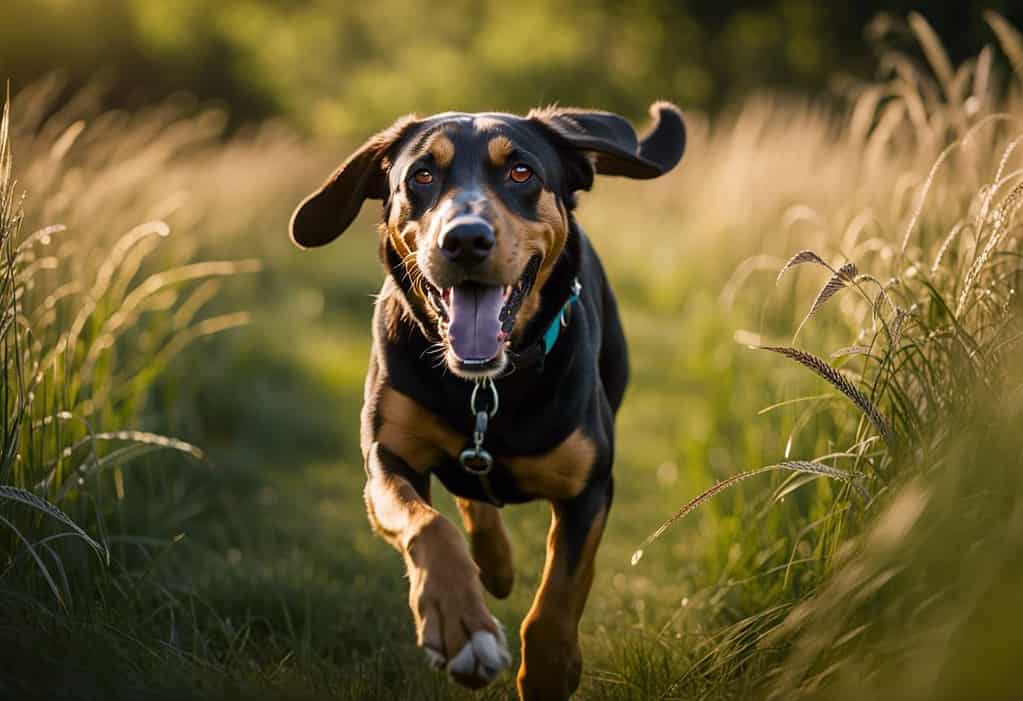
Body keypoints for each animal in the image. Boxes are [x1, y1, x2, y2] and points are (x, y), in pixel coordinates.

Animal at [290, 101, 687, 695]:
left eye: (521, 172)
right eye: (421, 176)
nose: (465, 239)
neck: (485, 388)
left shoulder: (590, 486)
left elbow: (559, 596)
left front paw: (550, 671)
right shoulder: (387, 457)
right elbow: (430, 527)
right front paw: (461, 626)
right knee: (471, 502)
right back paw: (493, 566)